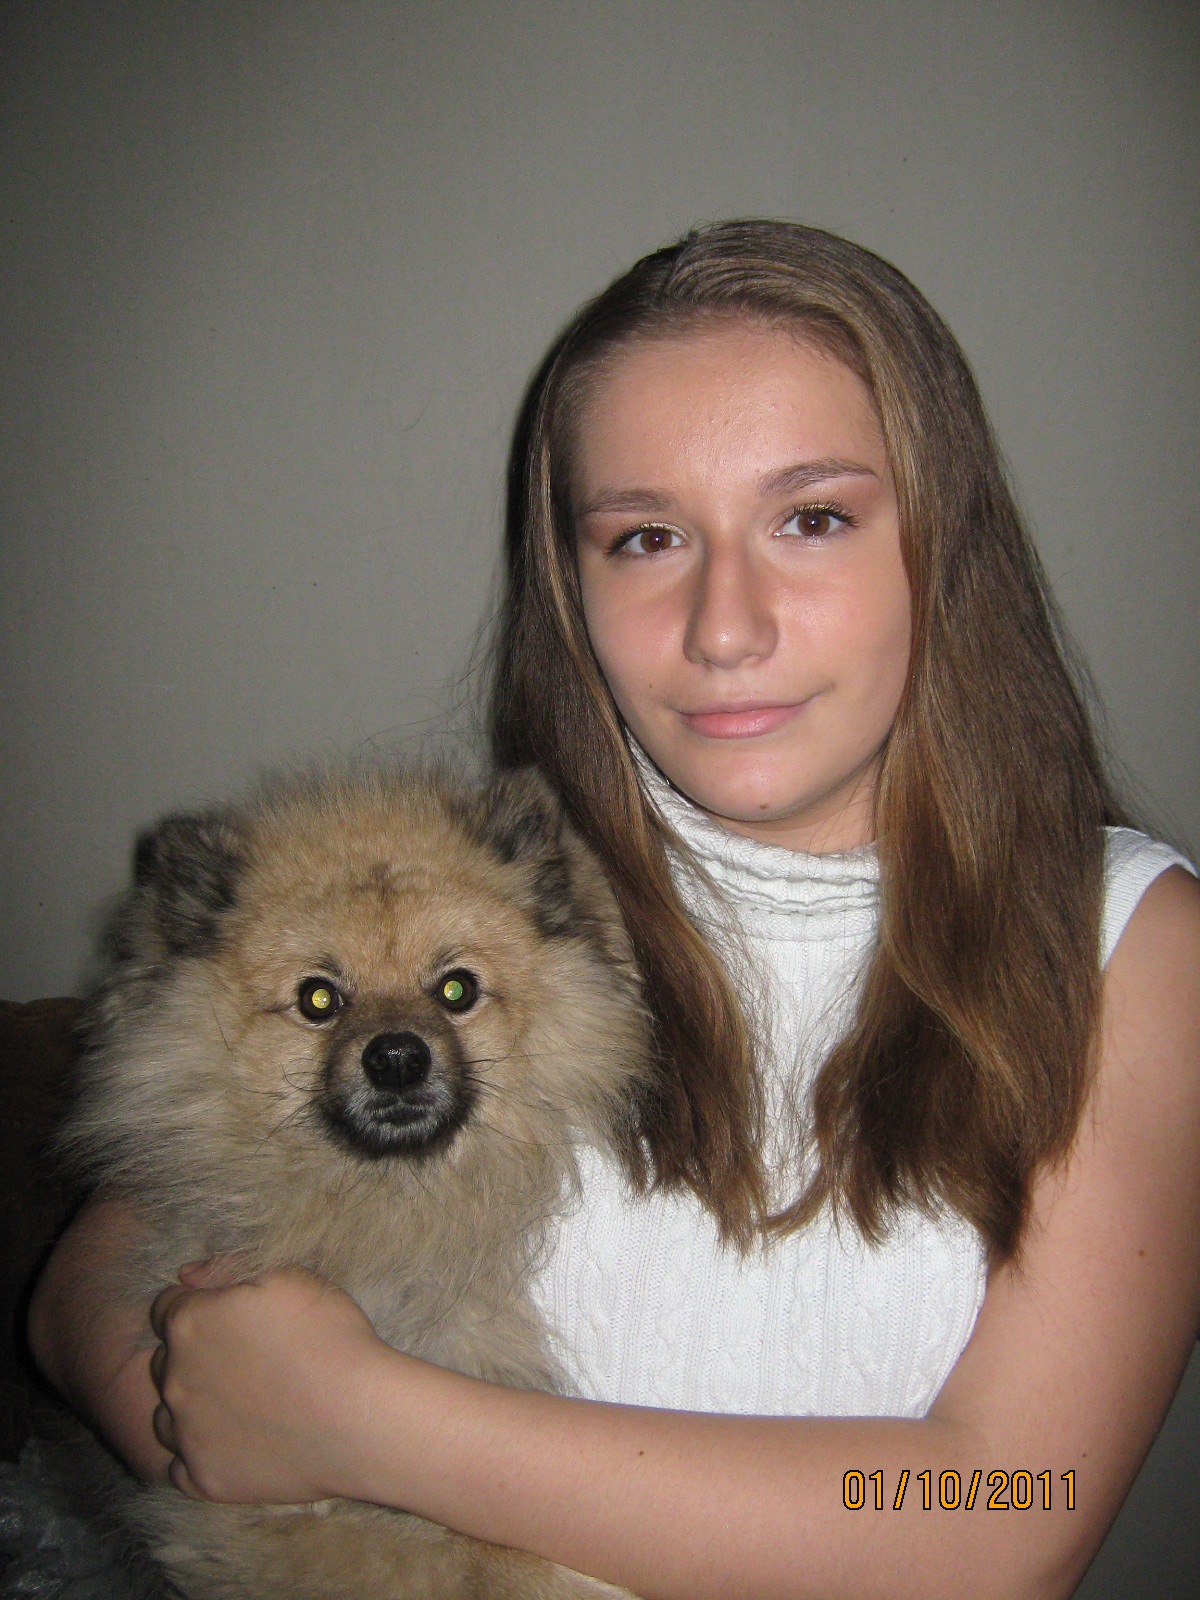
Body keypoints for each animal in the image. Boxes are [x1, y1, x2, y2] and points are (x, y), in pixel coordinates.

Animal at [62, 765, 648, 1599]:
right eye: (318, 1000)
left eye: (456, 991)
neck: (378, 1208)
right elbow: (449, 1558)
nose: (397, 1057)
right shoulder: (251, 1517)